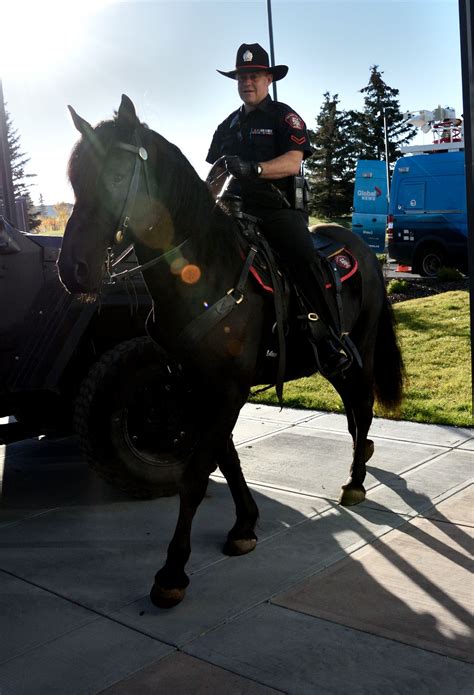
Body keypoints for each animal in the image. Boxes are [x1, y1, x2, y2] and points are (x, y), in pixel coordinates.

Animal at [56, 95, 404, 608]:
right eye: (75, 179)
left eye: (117, 175)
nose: (73, 269)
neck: (203, 272)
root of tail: (359, 246)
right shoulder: (195, 385)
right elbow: (226, 459)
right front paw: (245, 525)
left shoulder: (228, 388)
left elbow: (197, 472)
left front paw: (173, 572)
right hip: (332, 366)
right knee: (353, 416)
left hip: (357, 350)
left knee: (362, 408)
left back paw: (357, 481)